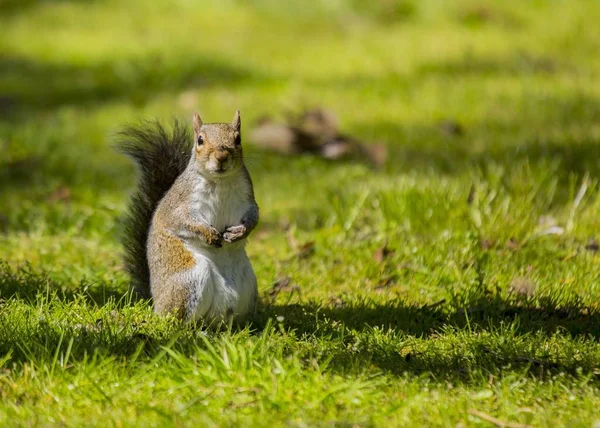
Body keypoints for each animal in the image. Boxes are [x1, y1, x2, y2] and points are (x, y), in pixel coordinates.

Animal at [117, 110, 258, 320]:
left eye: (238, 139)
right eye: (200, 140)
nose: (221, 156)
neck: (220, 181)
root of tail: (156, 301)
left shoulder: (248, 200)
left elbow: (254, 217)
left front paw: (240, 231)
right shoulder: (180, 204)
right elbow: (182, 221)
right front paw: (208, 233)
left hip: (248, 283)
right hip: (189, 279)